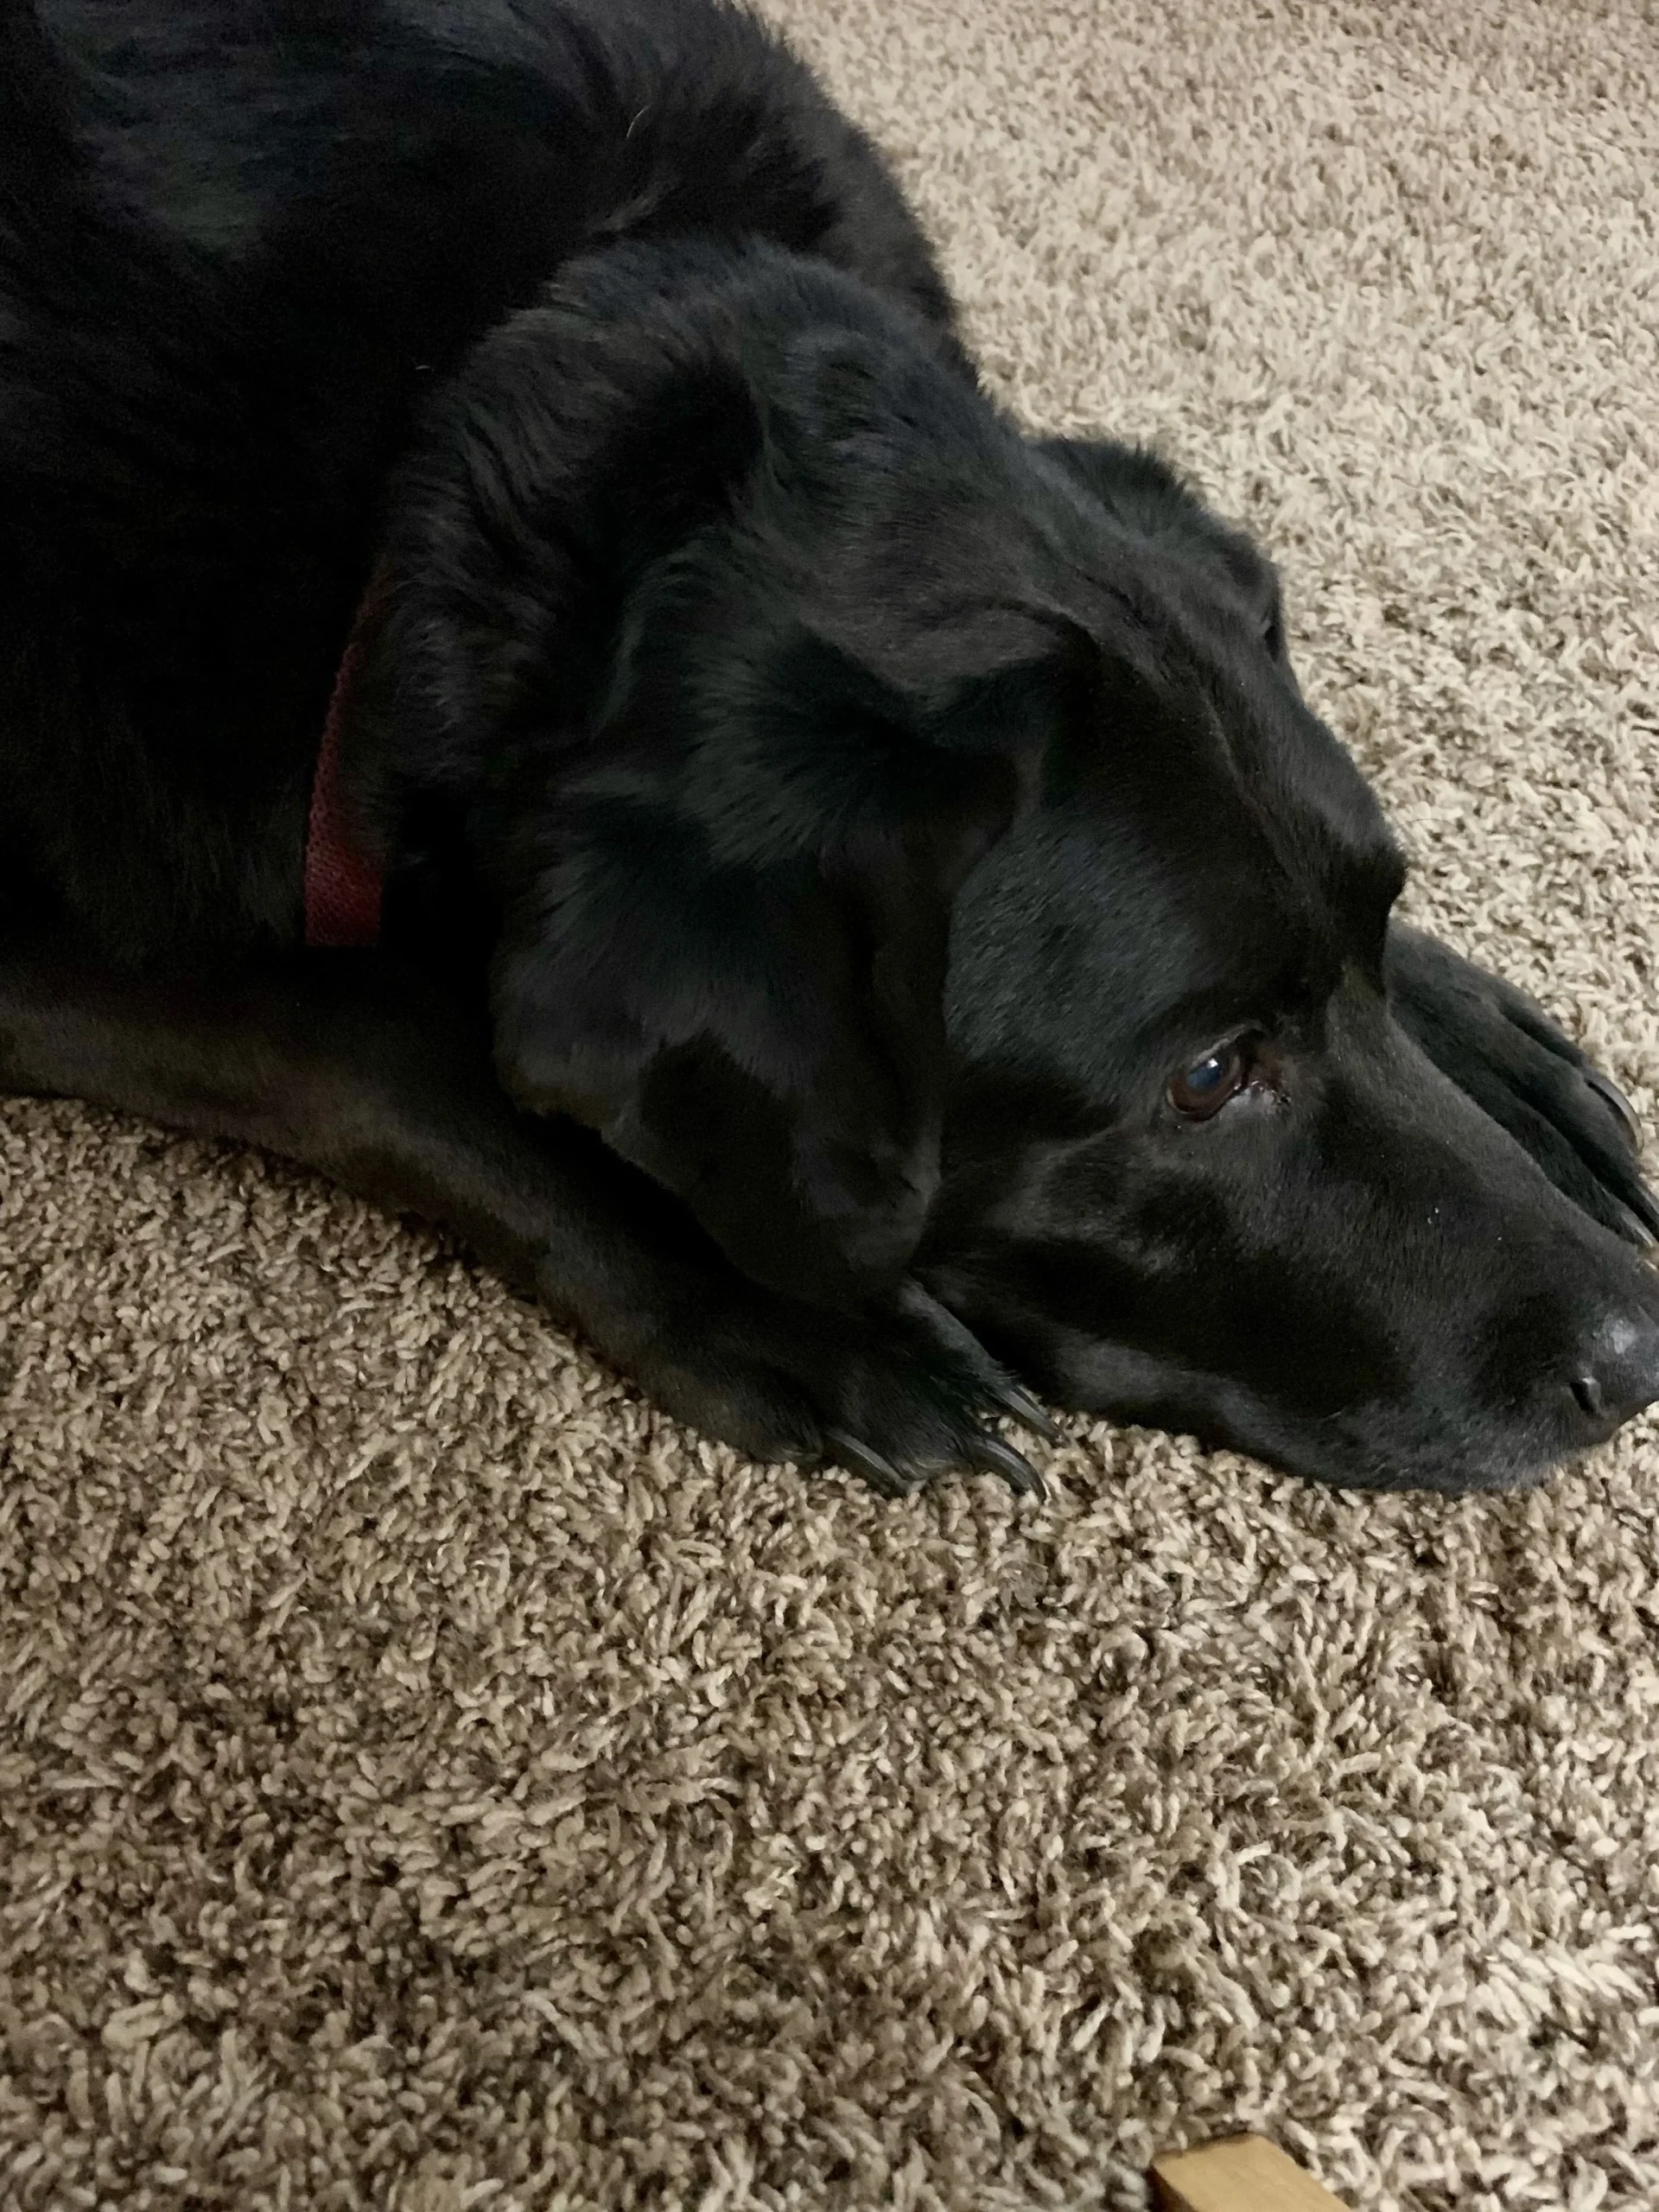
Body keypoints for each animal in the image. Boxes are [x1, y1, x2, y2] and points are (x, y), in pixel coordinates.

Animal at [2, 0, 1656, 1499]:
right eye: (1204, 1077)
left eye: (1379, 920)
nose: (1639, 1351)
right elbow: (385, 1050)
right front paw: (786, 1308)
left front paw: (1480, 1034)